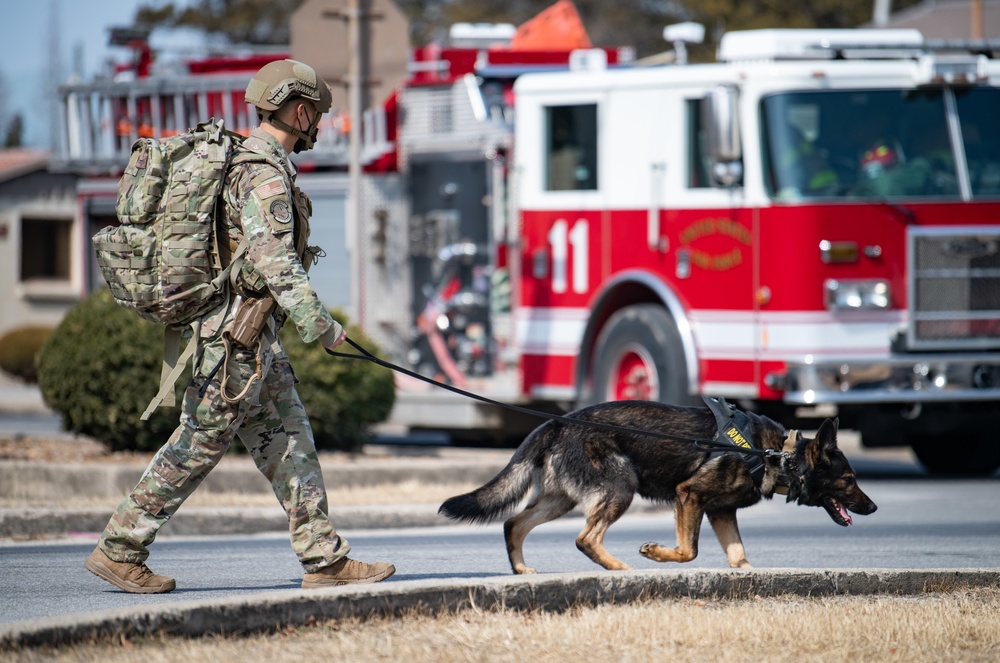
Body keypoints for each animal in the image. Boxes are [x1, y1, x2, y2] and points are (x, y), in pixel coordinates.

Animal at [438, 400, 876, 576]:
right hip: (620, 489)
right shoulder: (690, 496)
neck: (777, 454)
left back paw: (521, 569)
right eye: (849, 481)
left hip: (559, 501)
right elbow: (689, 551)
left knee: (514, 524)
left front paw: (748, 573)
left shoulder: (720, 511)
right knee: (585, 538)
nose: (872, 508)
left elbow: (738, 556)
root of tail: (558, 422)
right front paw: (657, 553)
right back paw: (620, 569)